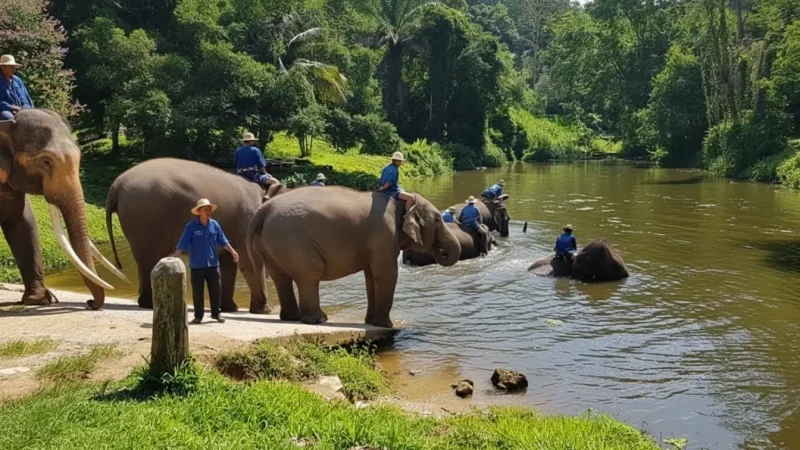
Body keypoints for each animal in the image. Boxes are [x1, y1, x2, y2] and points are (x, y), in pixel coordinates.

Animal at [106, 158, 287, 312]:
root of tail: (117, 183)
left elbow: (228, 261)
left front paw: (230, 308)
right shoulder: (246, 220)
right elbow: (249, 260)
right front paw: (266, 311)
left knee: (144, 261)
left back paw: (145, 303)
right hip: (145, 219)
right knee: (149, 259)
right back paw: (149, 304)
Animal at [247, 187, 462, 328]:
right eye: (437, 219)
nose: (440, 251)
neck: (402, 203)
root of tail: (264, 208)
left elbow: (371, 277)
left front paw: (370, 322)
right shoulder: (384, 235)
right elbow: (386, 274)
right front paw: (386, 326)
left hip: (271, 243)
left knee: (280, 277)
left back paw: (291, 318)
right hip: (293, 241)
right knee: (309, 275)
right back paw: (318, 319)